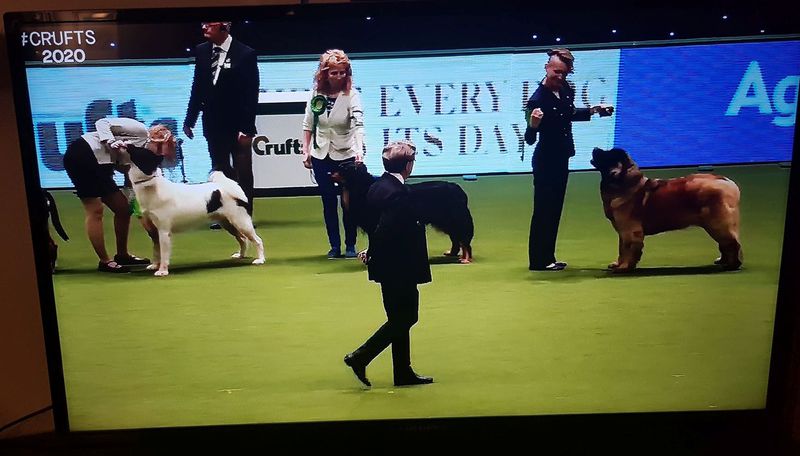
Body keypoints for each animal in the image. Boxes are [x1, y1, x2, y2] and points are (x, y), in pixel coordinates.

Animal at [127, 146, 265, 276]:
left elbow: (164, 253)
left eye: (140, 151)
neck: (151, 186)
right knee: (242, 238)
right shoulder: (154, 231)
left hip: (241, 222)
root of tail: (227, 186)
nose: (128, 145)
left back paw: (260, 260)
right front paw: (155, 265)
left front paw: (162, 271)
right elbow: (156, 250)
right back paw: (240, 255)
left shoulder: (164, 231)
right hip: (228, 223)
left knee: (257, 240)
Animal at [331, 161, 474, 263]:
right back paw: (452, 253)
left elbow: (373, 242)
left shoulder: (374, 224)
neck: (362, 186)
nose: (329, 173)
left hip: (455, 219)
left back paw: (466, 258)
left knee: (463, 239)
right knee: (456, 238)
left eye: (342, 168)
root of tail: (458, 189)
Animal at [590, 147, 742, 272]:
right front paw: (618, 264)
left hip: (717, 224)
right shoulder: (622, 231)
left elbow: (627, 250)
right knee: (725, 244)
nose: (595, 148)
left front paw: (624, 267)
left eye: (606, 155)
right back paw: (723, 261)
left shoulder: (629, 231)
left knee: (731, 244)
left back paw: (731, 265)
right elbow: (621, 249)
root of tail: (727, 182)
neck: (624, 183)